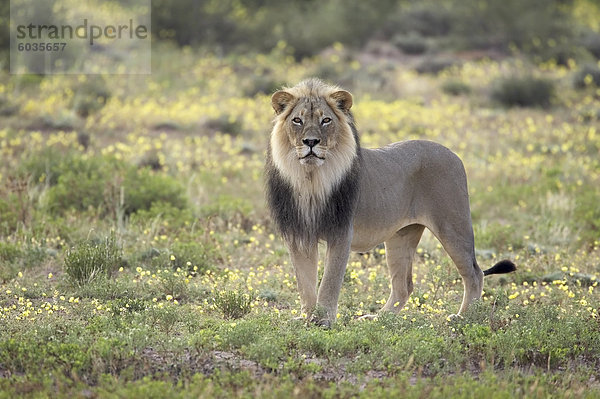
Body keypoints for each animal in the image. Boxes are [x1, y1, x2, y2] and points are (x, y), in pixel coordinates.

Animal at [268, 79, 516, 328]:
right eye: (297, 120)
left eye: (326, 120)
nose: (310, 142)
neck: (311, 178)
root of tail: (453, 154)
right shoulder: (298, 235)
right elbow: (305, 283)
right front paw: (306, 317)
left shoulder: (341, 232)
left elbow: (329, 281)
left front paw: (323, 320)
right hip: (402, 235)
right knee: (404, 286)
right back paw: (378, 318)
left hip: (453, 226)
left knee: (474, 272)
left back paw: (464, 316)